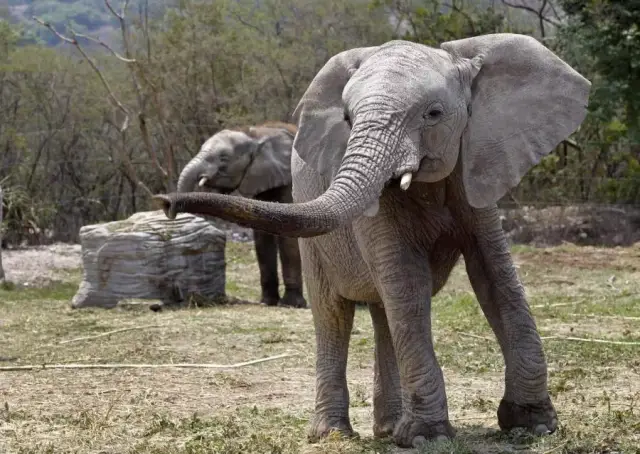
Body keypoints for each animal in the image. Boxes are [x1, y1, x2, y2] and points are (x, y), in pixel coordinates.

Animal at [174, 122, 306, 308]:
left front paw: (291, 304)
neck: (258, 134)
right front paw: (267, 302)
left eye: (223, 158)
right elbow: (262, 234)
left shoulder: (290, 180)